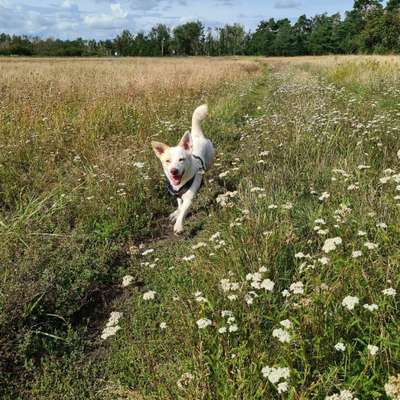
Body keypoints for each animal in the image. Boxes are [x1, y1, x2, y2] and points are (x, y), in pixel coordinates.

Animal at [152, 104, 216, 234]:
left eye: (181, 159)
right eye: (167, 161)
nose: (174, 171)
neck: (181, 183)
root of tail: (197, 135)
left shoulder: (189, 197)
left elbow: (184, 209)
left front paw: (178, 225)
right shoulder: (178, 194)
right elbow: (180, 205)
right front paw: (176, 213)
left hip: (209, 161)